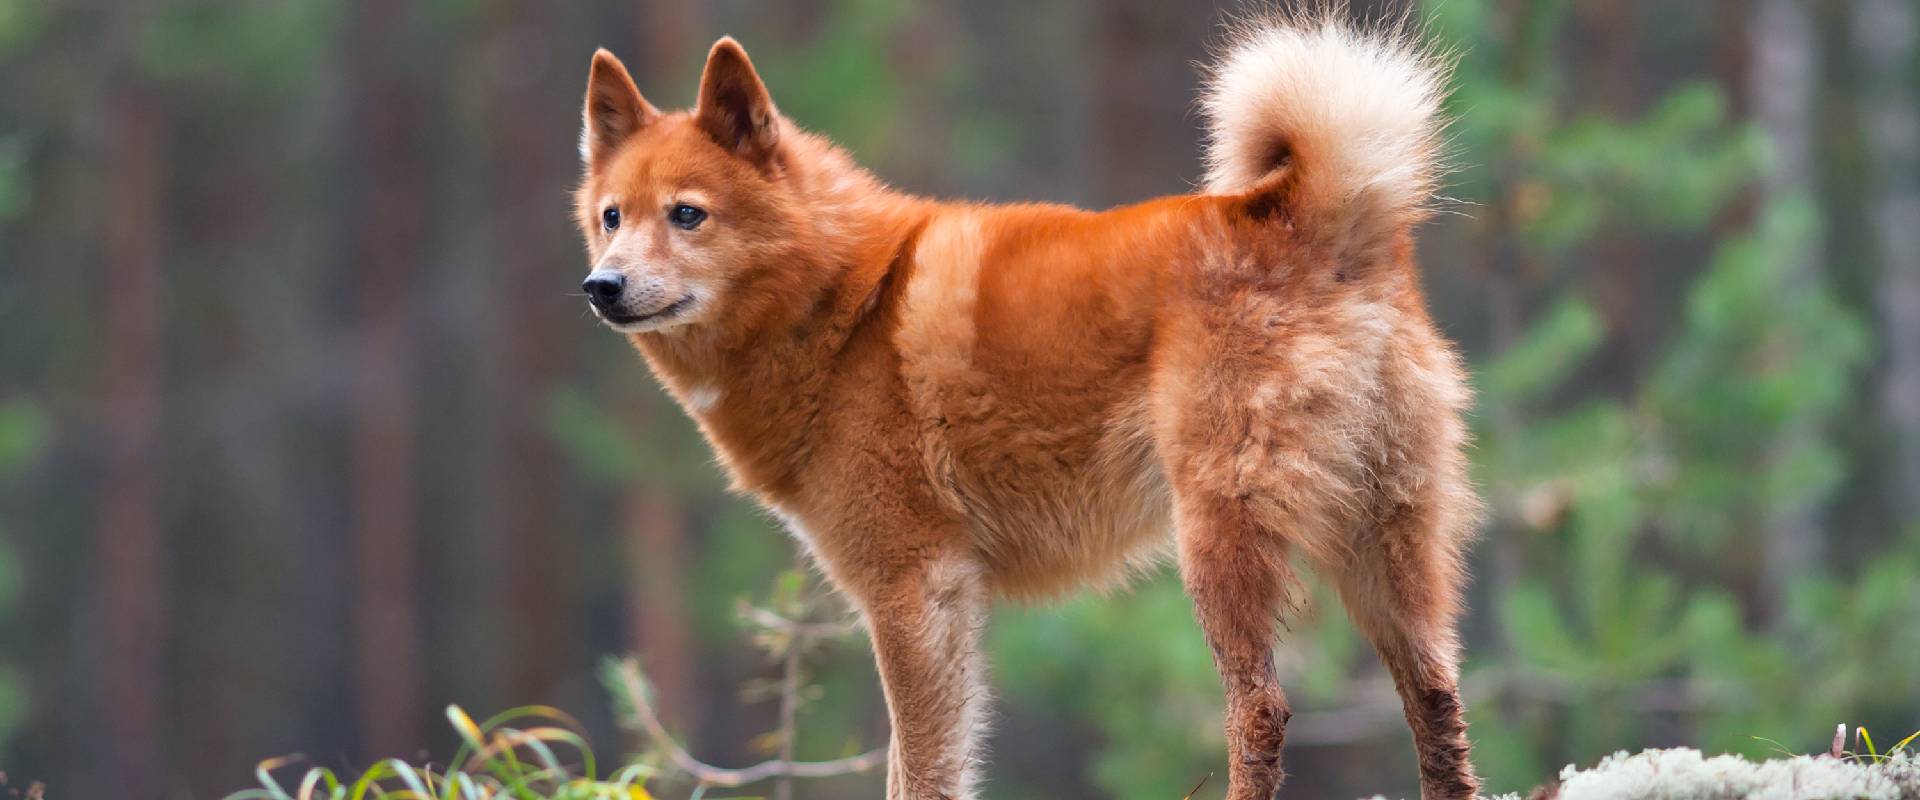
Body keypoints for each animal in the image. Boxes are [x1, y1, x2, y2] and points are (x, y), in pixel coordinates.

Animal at [573, 11, 1480, 800]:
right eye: (612, 217)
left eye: (687, 215)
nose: (600, 287)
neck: (843, 303)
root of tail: (1310, 215)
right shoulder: (940, 604)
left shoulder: (915, 590)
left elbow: (923, 772)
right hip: (1385, 544)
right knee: (1436, 698)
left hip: (1220, 540)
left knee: (1260, 711)